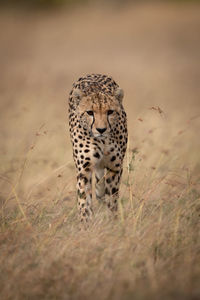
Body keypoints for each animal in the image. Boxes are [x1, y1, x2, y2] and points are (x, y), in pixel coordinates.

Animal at [68, 73, 128, 223]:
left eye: (110, 112)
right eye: (90, 112)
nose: (101, 129)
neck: (102, 140)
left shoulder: (114, 167)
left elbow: (112, 198)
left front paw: (113, 221)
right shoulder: (84, 169)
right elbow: (84, 200)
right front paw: (85, 224)